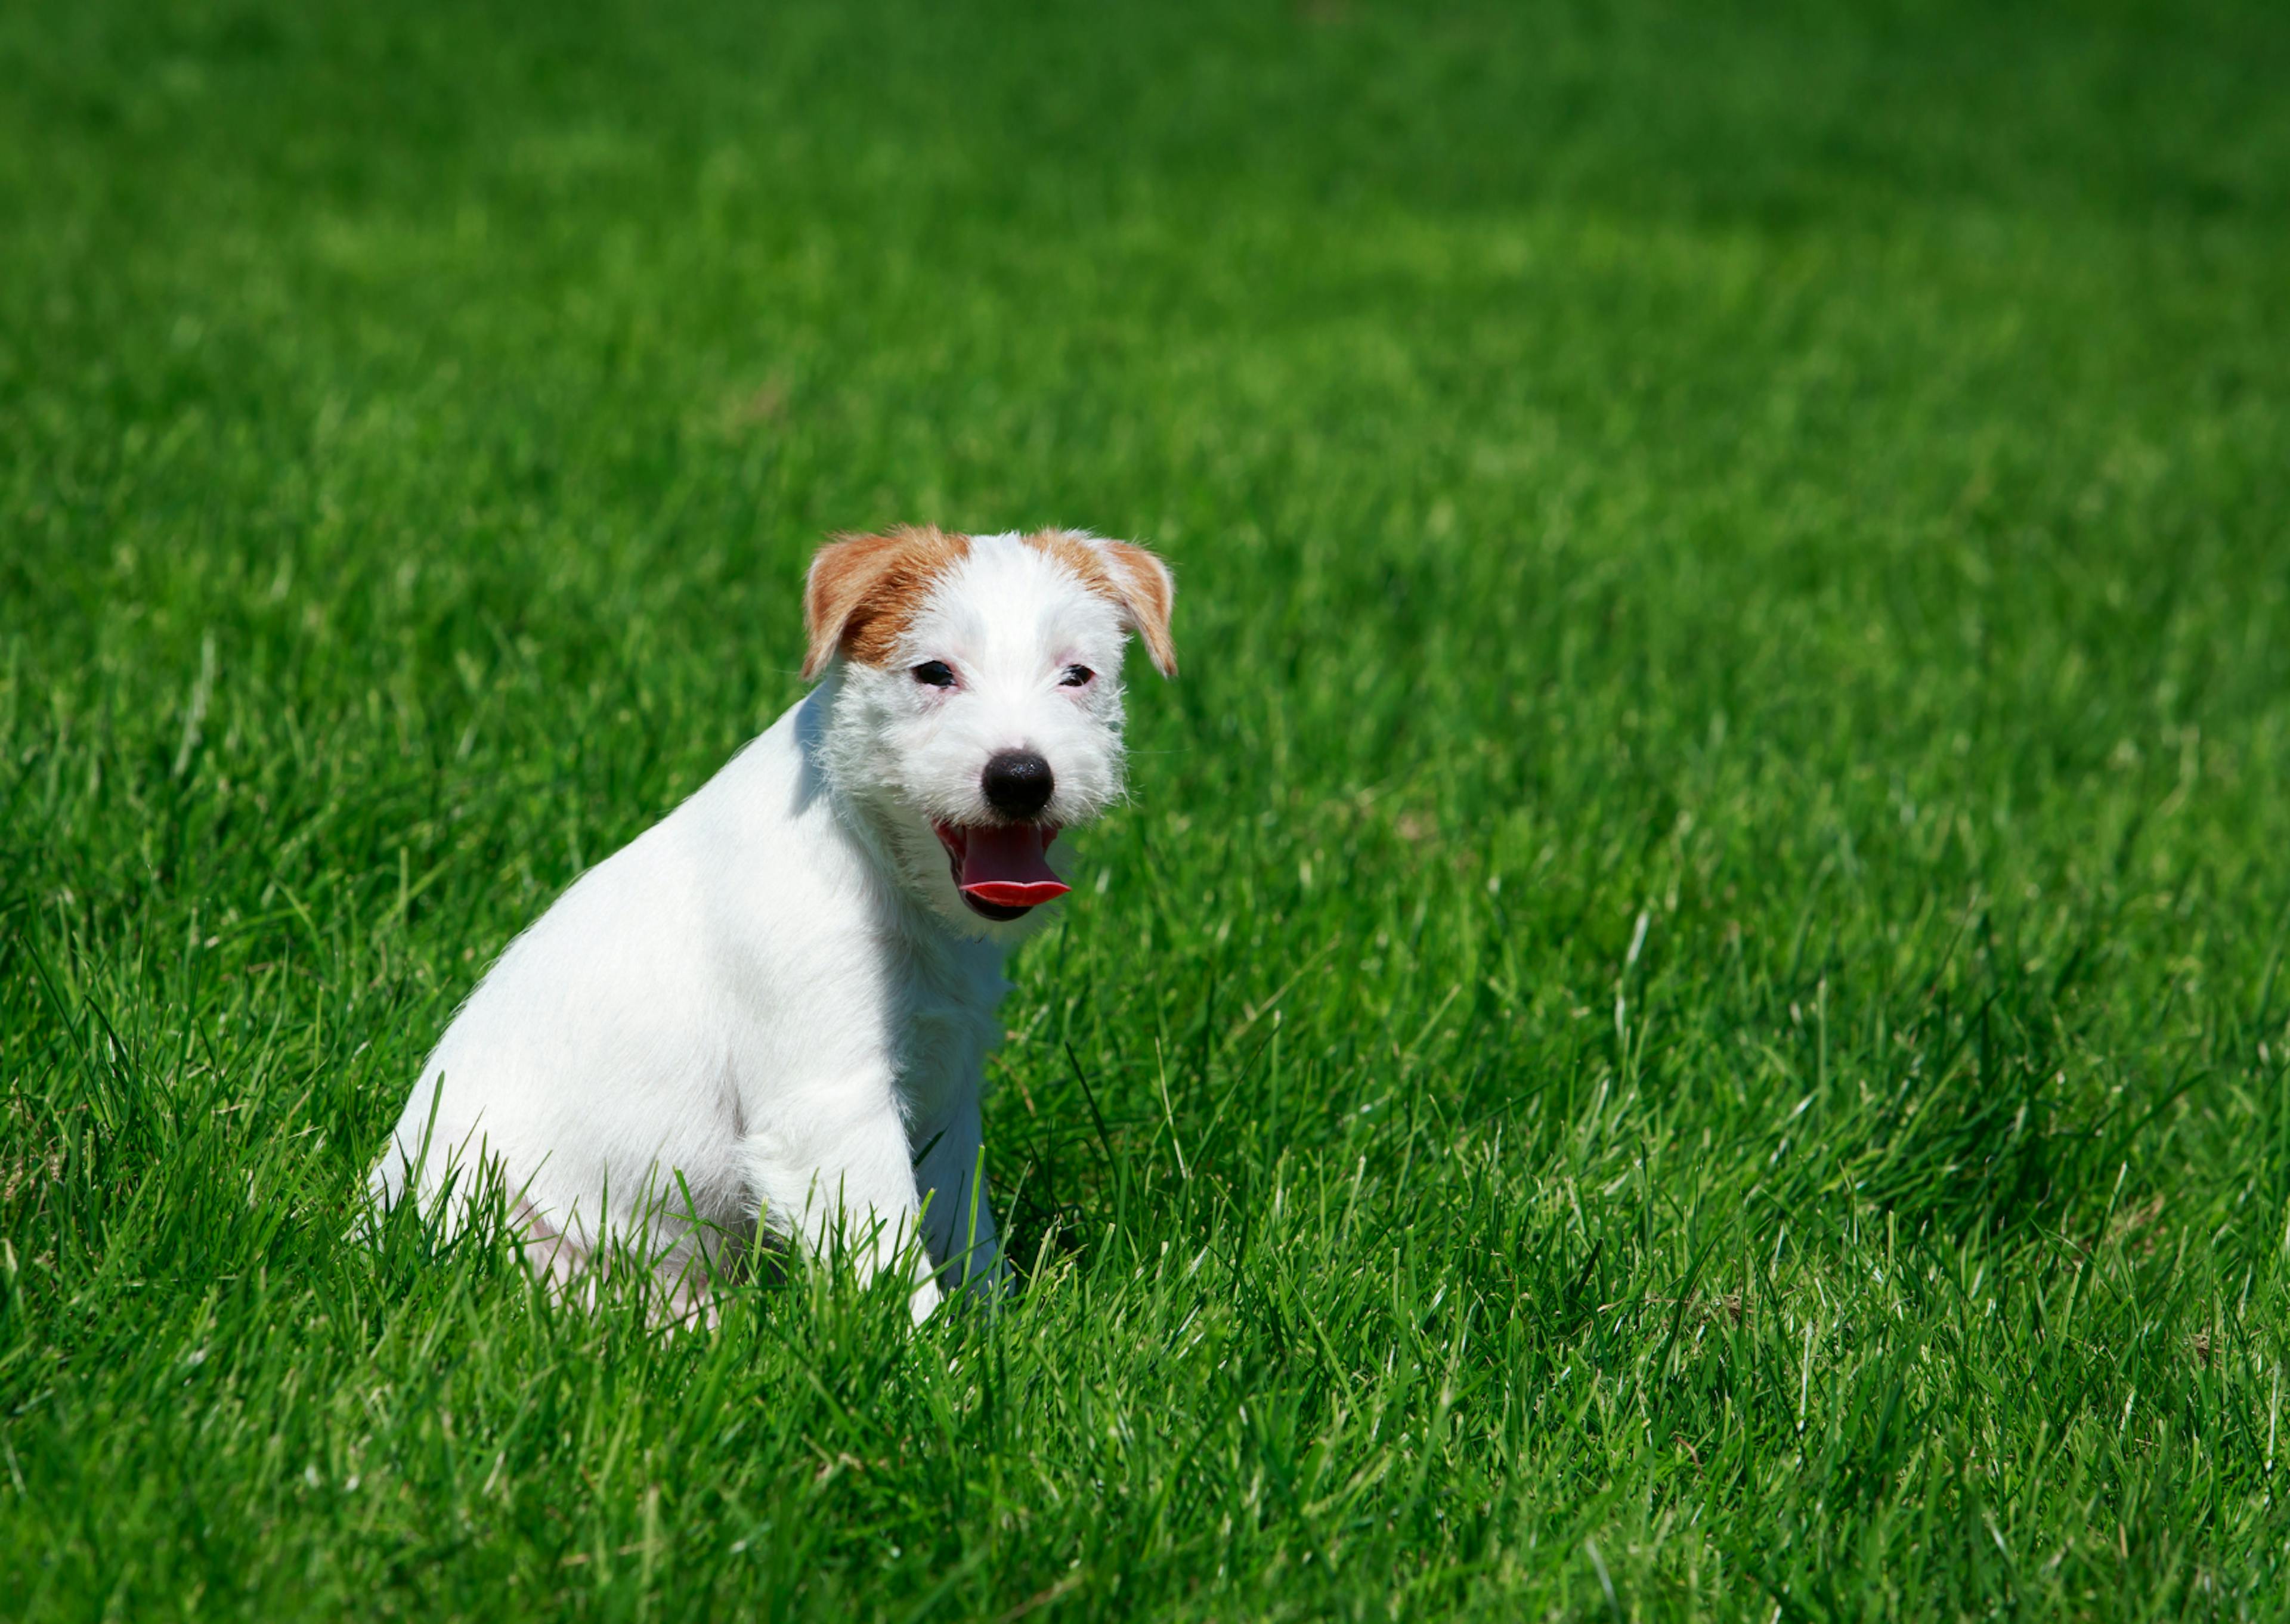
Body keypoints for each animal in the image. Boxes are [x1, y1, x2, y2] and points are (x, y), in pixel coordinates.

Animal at [371, 529, 1181, 1319]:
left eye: (1077, 675)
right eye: (934, 673)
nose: (1021, 778)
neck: (880, 856)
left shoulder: (946, 1095)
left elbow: (963, 1231)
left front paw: (994, 1328)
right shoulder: (833, 1103)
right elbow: (893, 1256)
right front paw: (927, 1352)